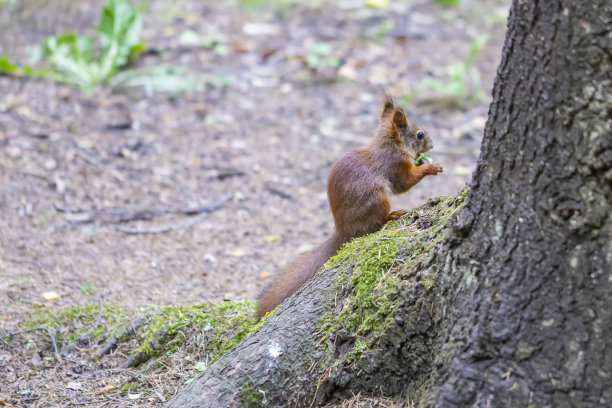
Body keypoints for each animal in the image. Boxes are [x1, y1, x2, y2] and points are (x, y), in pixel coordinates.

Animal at [256, 95, 442, 318]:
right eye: (419, 135)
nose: (432, 145)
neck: (390, 146)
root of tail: (344, 230)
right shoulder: (395, 165)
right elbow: (404, 184)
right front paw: (430, 167)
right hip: (377, 199)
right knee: (376, 222)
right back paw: (392, 214)